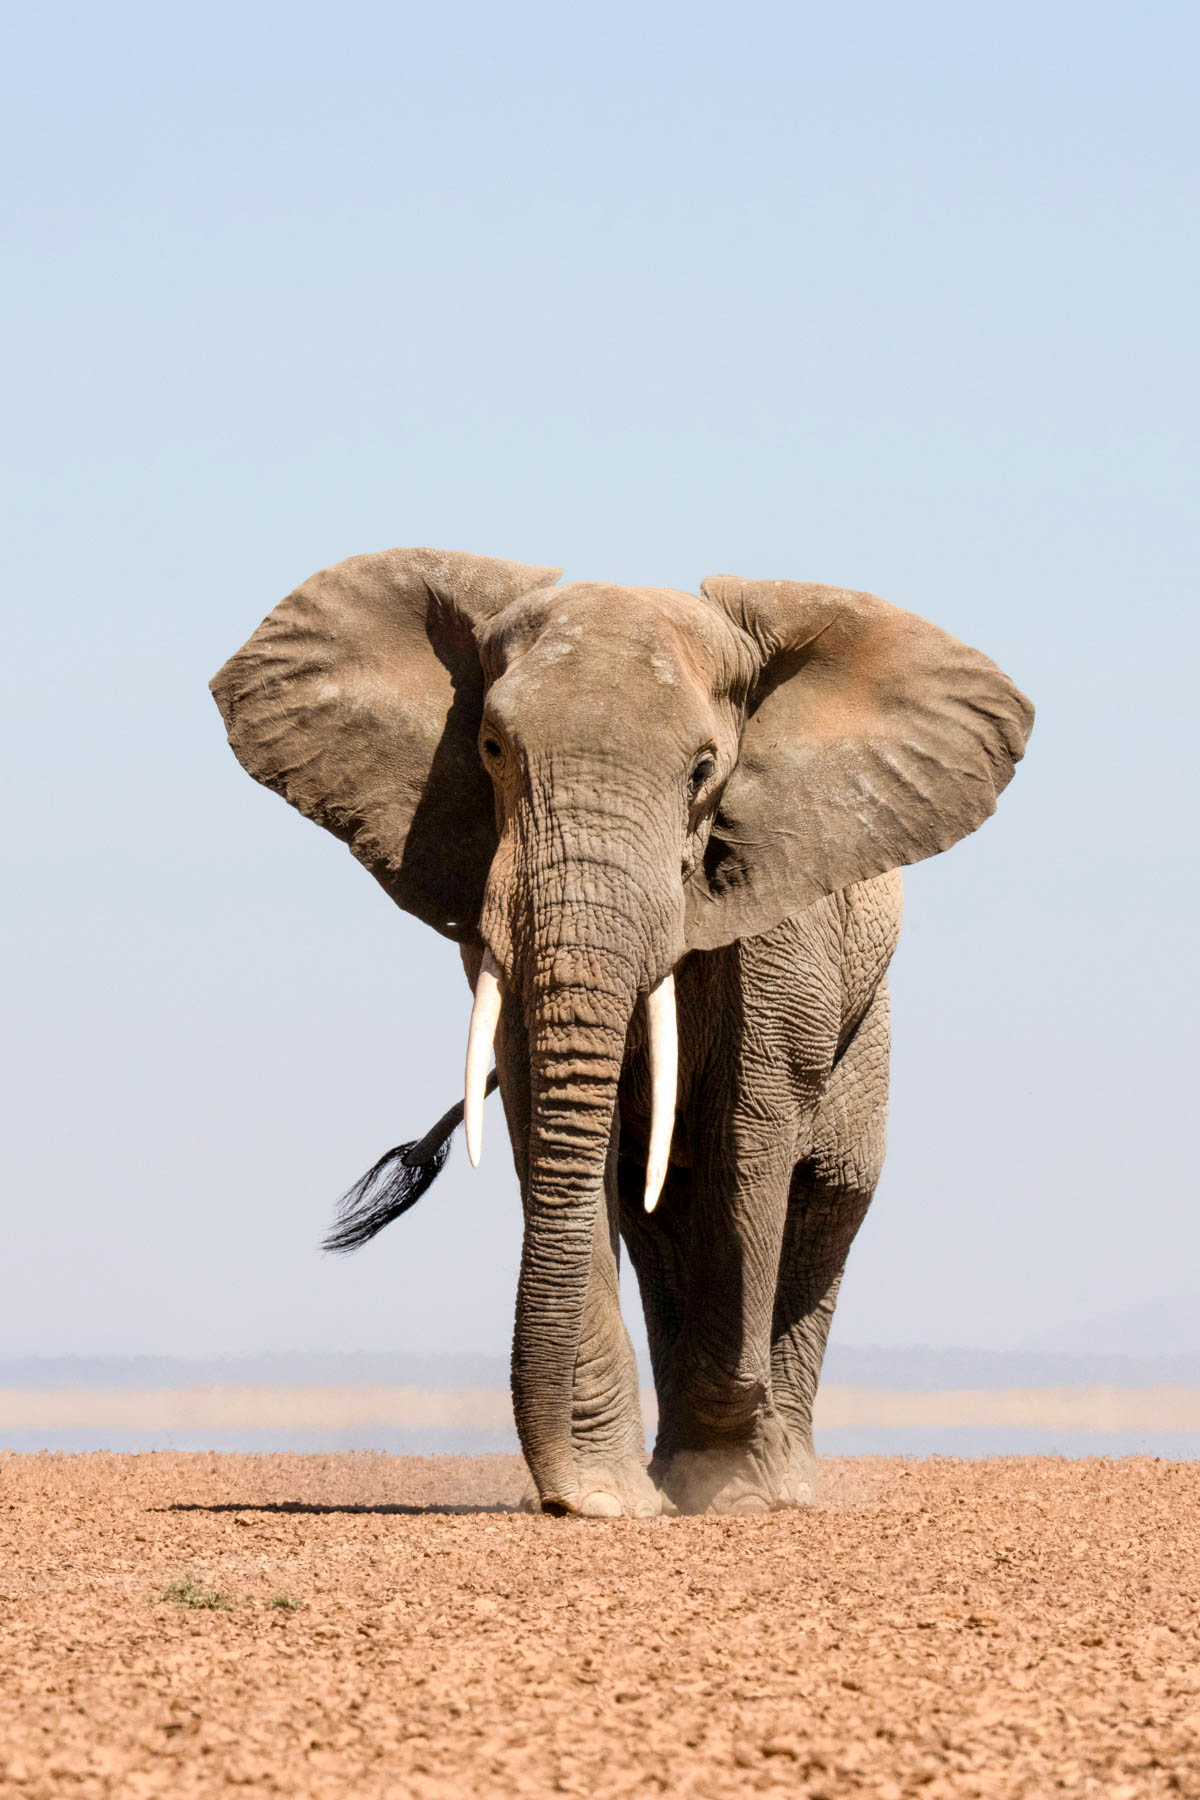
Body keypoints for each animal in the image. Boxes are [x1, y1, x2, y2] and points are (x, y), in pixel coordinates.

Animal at [211, 548, 1033, 1516]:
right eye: (492, 750)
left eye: (705, 770)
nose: (554, 1498)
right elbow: (556, 1125)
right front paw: (612, 1500)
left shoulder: (781, 917)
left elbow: (752, 1133)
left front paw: (723, 1489)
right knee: (662, 1221)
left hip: (869, 1010)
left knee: (827, 1190)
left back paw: (778, 1481)